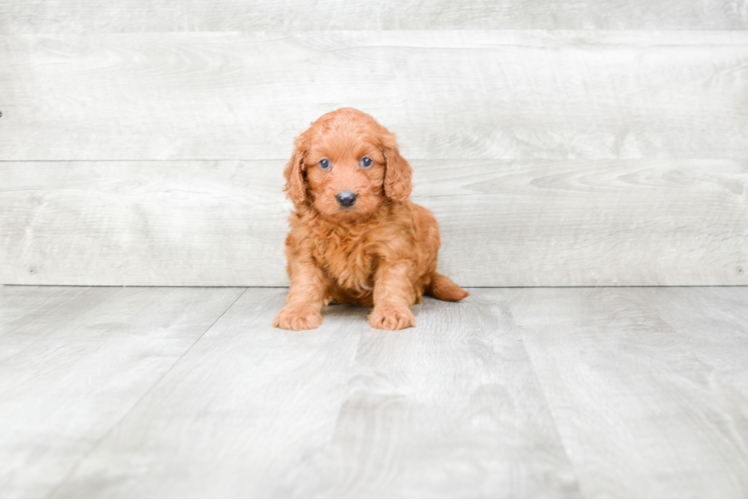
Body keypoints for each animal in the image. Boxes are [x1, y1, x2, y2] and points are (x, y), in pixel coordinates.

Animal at [274, 107, 468, 330]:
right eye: (324, 163)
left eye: (366, 161)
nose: (346, 198)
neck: (348, 225)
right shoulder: (305, 247)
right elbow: (305, 283)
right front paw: (297, 312)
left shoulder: (393, 250)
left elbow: (391, 283)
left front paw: (392, 312)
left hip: (429, 224)